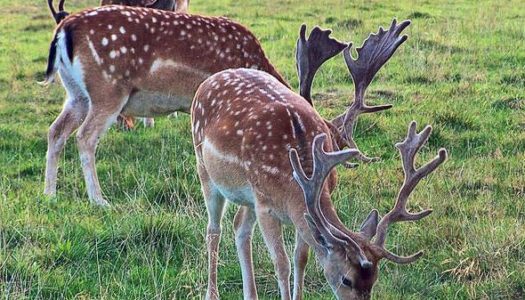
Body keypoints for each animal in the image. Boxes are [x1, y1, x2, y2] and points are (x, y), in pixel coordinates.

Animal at [41, 5, 288, 206]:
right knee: (85, 136)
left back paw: (50, 194)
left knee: (55, 131)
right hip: (108, 90)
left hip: (76, 94)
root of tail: (64, 29)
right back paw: (99, 200)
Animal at [191, 19, 446, 298]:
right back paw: (212, 292)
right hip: (204, 166)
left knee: (239, 227)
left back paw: (250, 293)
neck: (295, 178)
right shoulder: (265, 206)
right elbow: (282, 263)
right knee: (214, 230)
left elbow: (300, 257)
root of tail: (209, 80)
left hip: (246, 195)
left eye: (375, 279)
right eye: (347, 280)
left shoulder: (295, 211)